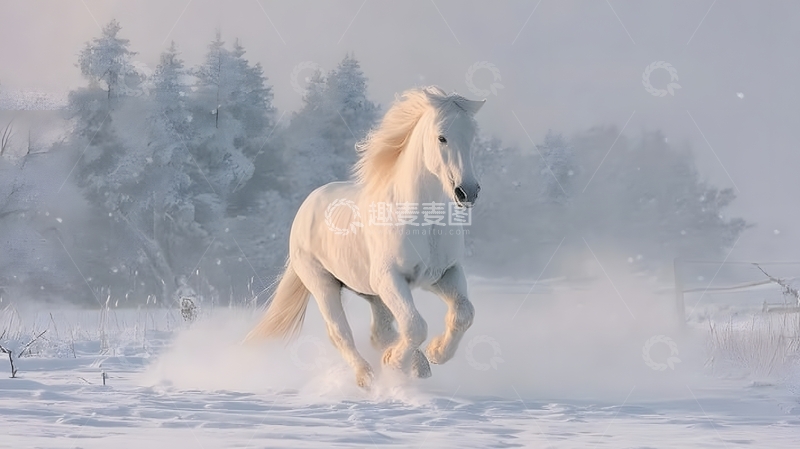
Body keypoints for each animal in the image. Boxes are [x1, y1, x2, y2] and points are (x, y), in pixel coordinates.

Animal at [245, 86, 484, 388]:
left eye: (472, 136)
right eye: (442, 137)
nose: (468, 192)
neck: (422, 220)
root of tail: (308, 204)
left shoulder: (443, 274)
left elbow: (464, 314)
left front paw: (436, 353)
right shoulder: (391, 278)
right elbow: (415, 325)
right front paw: (396, 364)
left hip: (372, 292)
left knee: (380, 332)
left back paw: (416, 364)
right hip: (323, 283)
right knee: (340, 333)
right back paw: (367, 377)